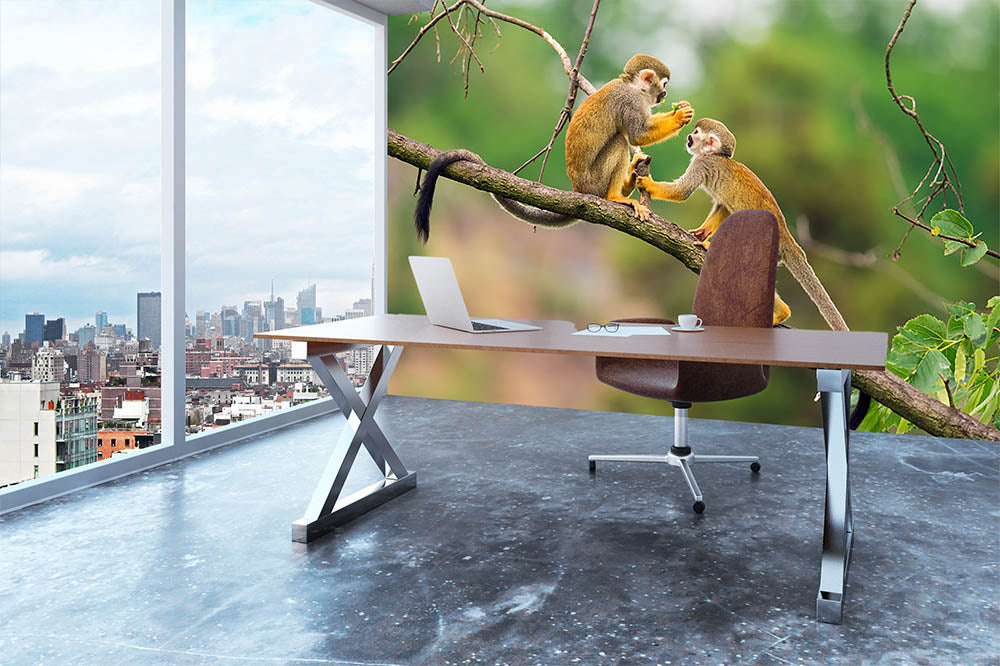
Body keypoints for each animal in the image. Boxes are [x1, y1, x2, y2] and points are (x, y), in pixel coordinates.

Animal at [413, 54, 694, 242]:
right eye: (664, 85)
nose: (665, 96)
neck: (634, 87)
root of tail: (579, 190)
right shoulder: (630, 102)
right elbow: (636, 135)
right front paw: (680, 117)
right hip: (594, 181)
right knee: (618, 141)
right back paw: (616, 196)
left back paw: (629, 181)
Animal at [635, 118, 849, 330]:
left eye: (695, 133)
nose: (688, 137)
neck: (715, 156)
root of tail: (789, 240)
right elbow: (723, 206)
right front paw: (702, 233)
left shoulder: (702, 164)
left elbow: (682, 191)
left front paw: (648, 184)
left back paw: (780, 313)